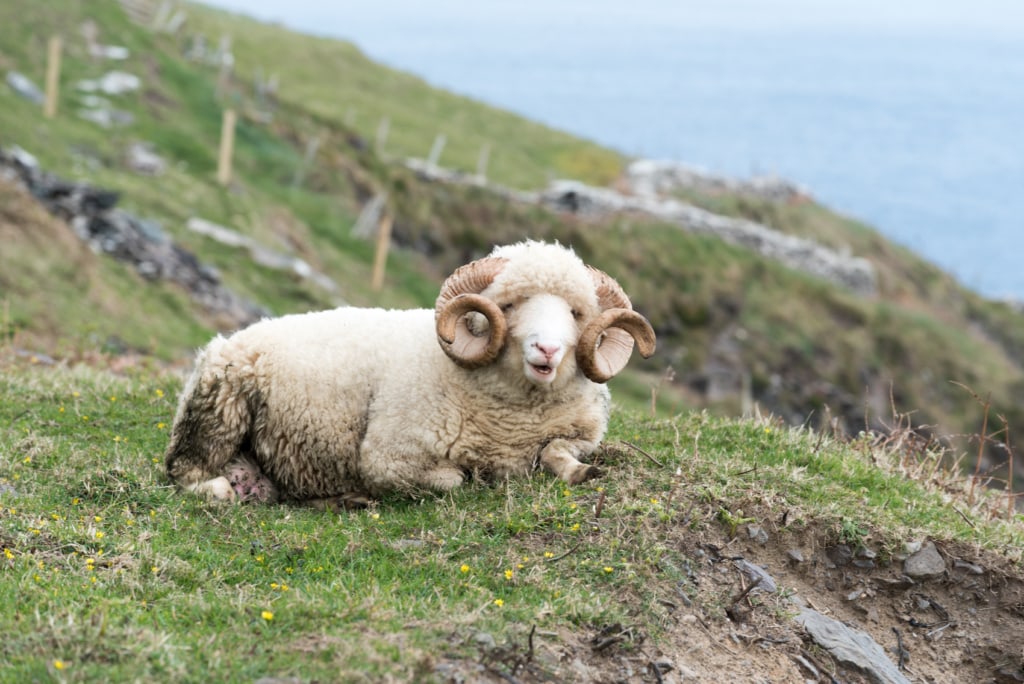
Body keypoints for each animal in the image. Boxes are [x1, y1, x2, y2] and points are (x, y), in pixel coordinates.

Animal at [164, 240, 656, 507]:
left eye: (576, 312)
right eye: (510, 304)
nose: (548, 349)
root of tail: (228, 340)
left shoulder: (581, 433)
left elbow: (558, 451)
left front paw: (581, 472)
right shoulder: (387, 459)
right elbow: (454, 479)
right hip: (219, 410)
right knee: (183, 471)